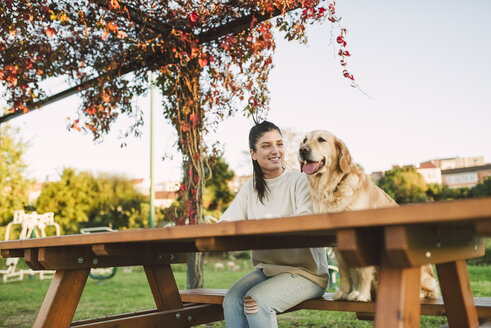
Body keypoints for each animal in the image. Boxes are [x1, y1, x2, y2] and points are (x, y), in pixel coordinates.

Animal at [298, 131, 440, 302]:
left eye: (321, 139)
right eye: (304, 140)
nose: (302, 150)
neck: (333, 186)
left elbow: (364, 271)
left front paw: (361, 294)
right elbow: (343, 270)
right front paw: (343, 292)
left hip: (424, 275)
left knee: (430, 290)